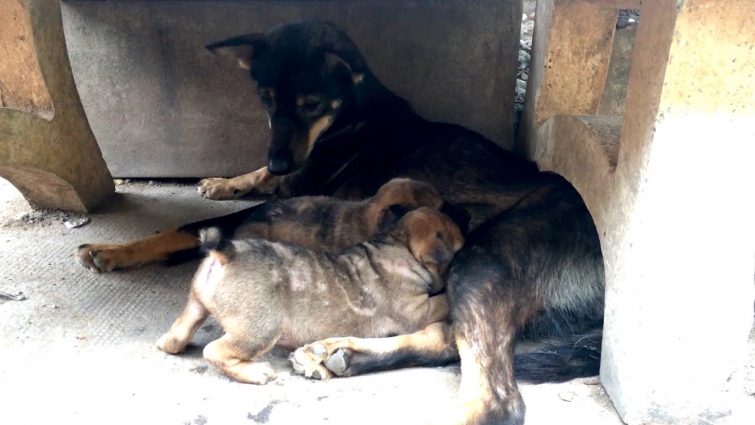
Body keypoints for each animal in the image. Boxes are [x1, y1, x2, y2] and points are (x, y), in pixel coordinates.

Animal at [157, 208, 464, 384]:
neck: (399, 243)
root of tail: (227, 252)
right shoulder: (417, 311)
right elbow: (442, 301)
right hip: (261, 328)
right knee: (216, 350)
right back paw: (256, 373)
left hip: (196, 303)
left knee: (180, 330)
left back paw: (170, 343)